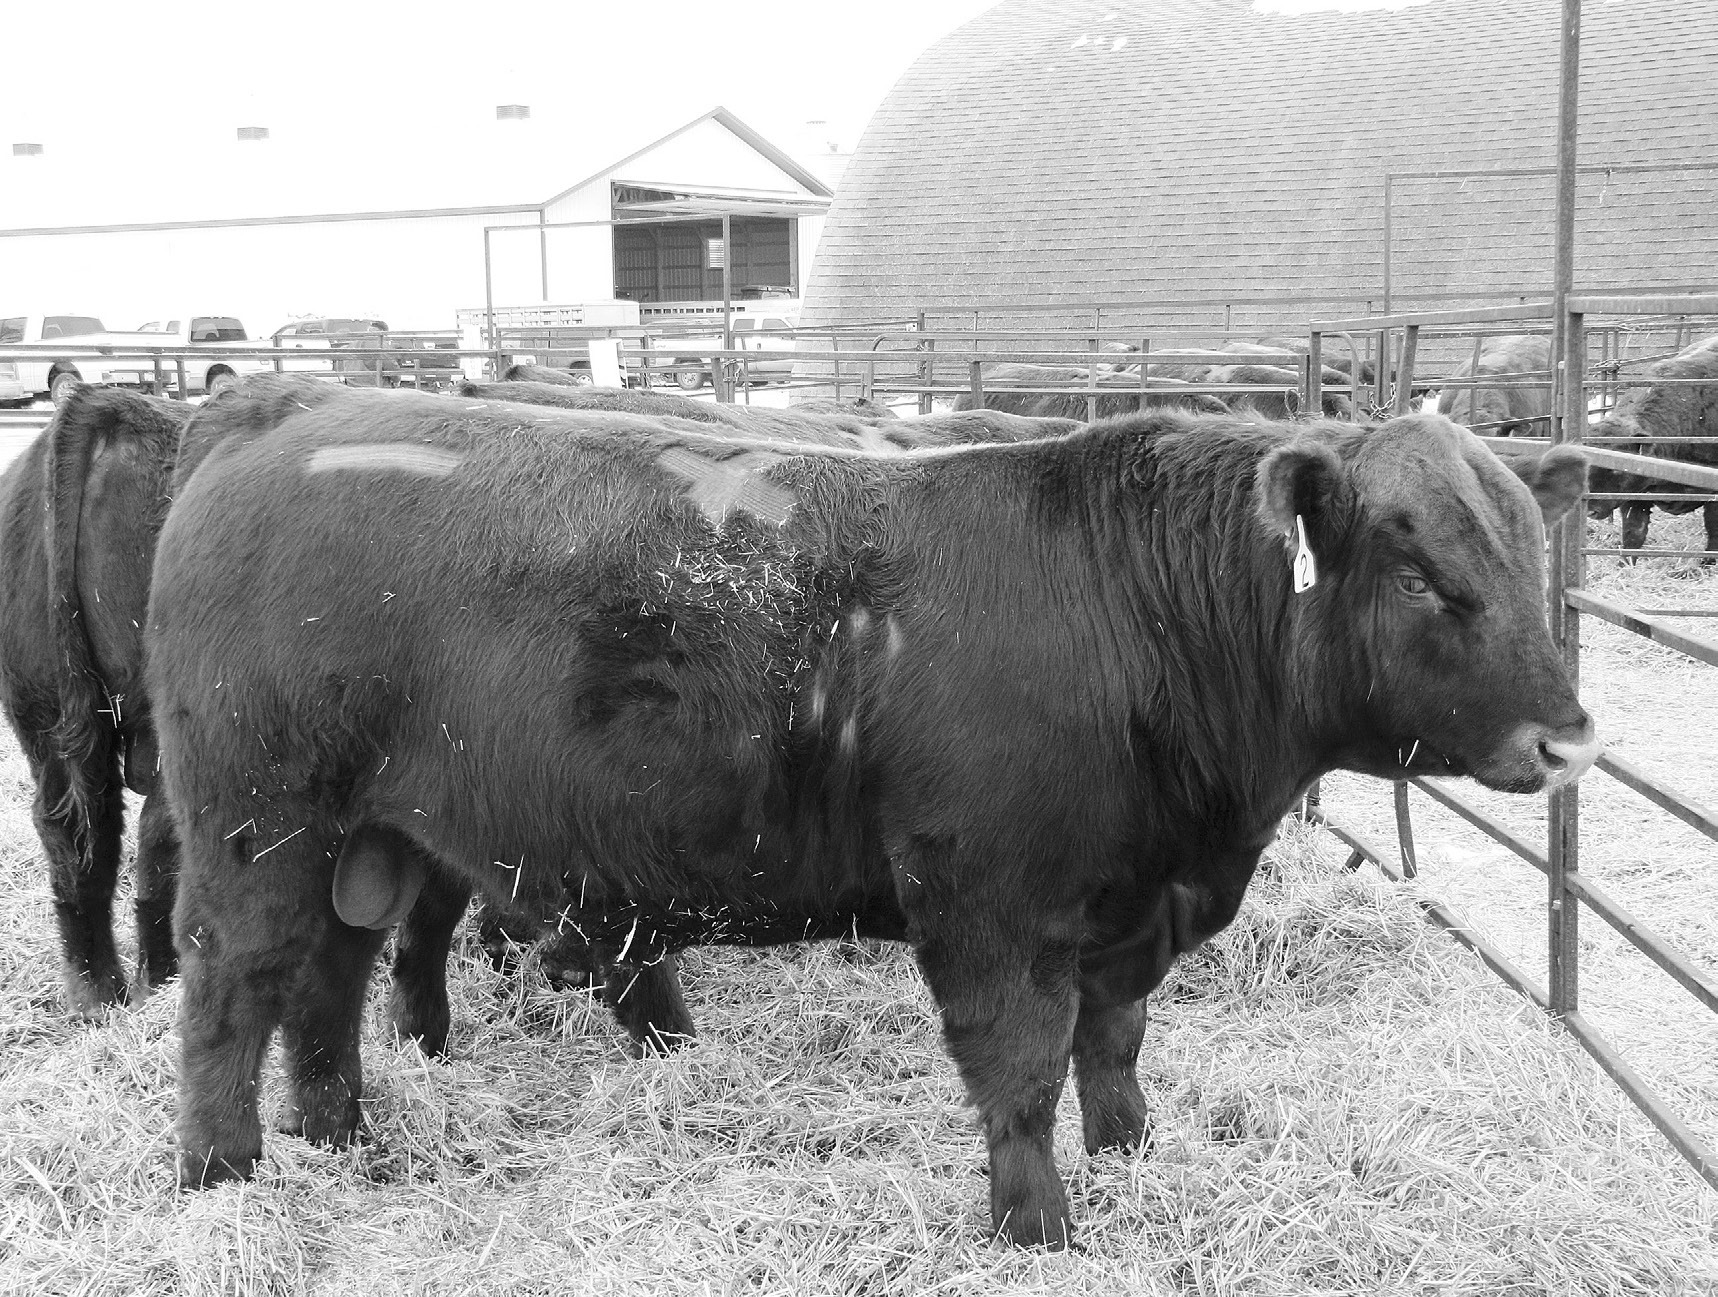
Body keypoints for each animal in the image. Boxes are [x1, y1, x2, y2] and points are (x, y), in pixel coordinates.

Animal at [0, 386, 190, 1015]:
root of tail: (100, 406)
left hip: (45, 706)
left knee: (77, 830)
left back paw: (98, 994)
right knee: (159, 836)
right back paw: (161, 981)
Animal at [147, 389, 1597, 1248]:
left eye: (1529, 561)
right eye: (1419, 575)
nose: (1568, 738)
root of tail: (284, 406)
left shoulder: (1127, 907)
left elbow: (1112, 1044)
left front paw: (1131, 1154)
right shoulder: (987, 901)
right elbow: (1017, 1065)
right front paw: (1035, 1222)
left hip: (369, 841)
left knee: (328, 985)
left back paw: (342, 1135)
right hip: (256, 826)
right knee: (232, 989)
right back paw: (222, 1175)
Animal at [1586, 335, 1718, 564]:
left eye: (1618, 469)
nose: (1591, 510)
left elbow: (1713, 529)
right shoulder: (1636, 496)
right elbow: (1634, 532)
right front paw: (1625, 564)